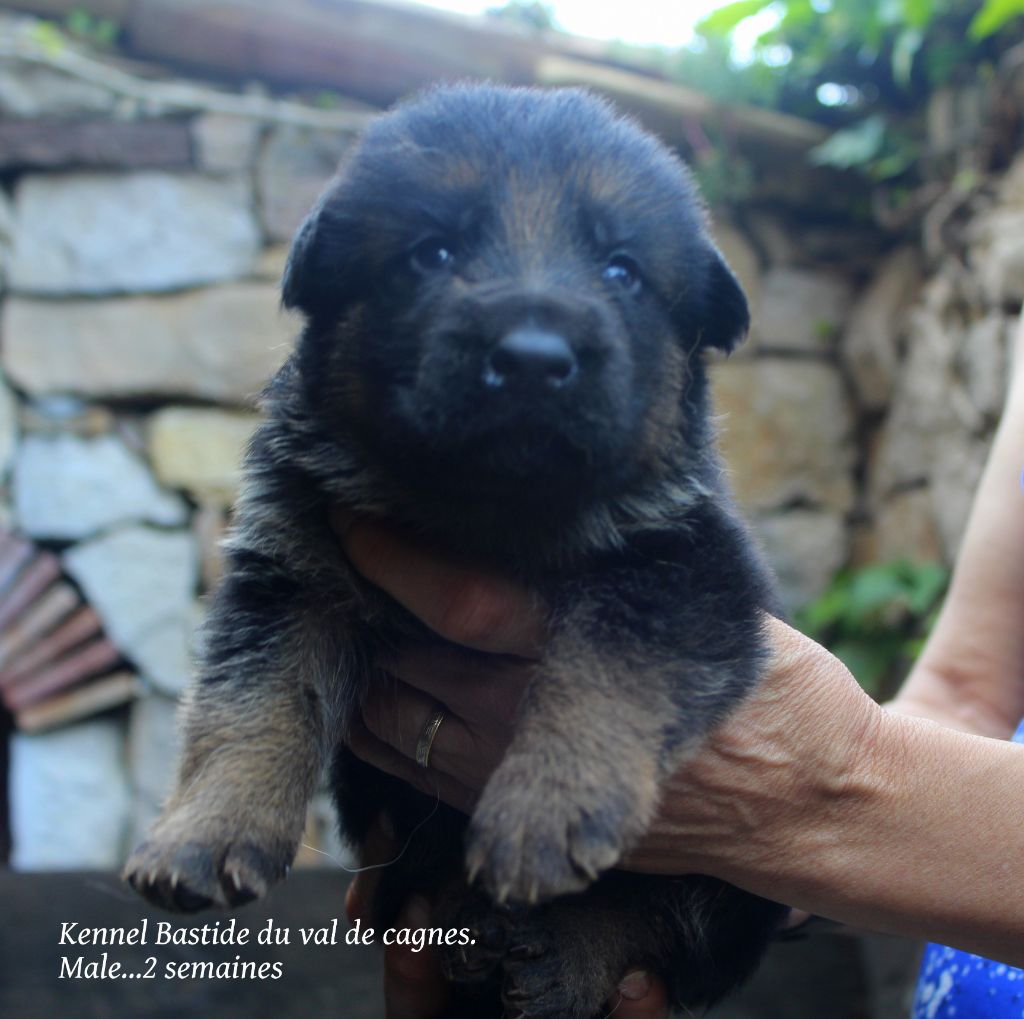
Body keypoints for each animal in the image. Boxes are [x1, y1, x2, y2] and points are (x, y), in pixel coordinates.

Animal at [125, 83, 782, 1015]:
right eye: (431, 252)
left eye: (622, 269)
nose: (534, 358)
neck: (482, 517)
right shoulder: (290, 572)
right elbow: (252, 703)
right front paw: (205, 828)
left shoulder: (687, 565)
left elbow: (603, 672)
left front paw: (547, 805)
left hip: (734, 891)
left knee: (662, 925)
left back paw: (559, 952)